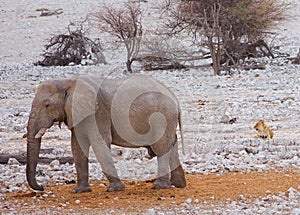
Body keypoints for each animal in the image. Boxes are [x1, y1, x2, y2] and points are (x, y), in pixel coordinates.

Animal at [26, 74, 185, 193]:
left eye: (47, 105)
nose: (42, 187)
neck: (69, 81)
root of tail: (176, 100)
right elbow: (77, 147)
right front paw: (79, 191)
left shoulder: (97, 113)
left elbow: (99, 143)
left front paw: (115, 189)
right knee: (171, 144)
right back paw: (178, 184)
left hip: (162, 117)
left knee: (161, 147)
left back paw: (159, 187)